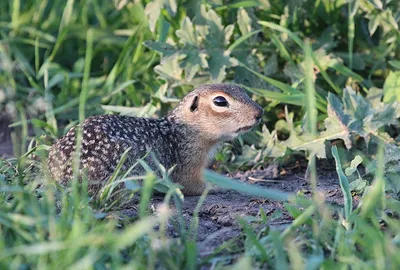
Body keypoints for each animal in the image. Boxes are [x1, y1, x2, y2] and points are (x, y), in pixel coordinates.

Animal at [48, 83, 264, 195]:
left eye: (242, 90)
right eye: (220, 101)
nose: (259, 112)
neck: (181, 130)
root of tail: (59, 175)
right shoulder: (188, 163)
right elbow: (193, 185)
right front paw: (220, 185)